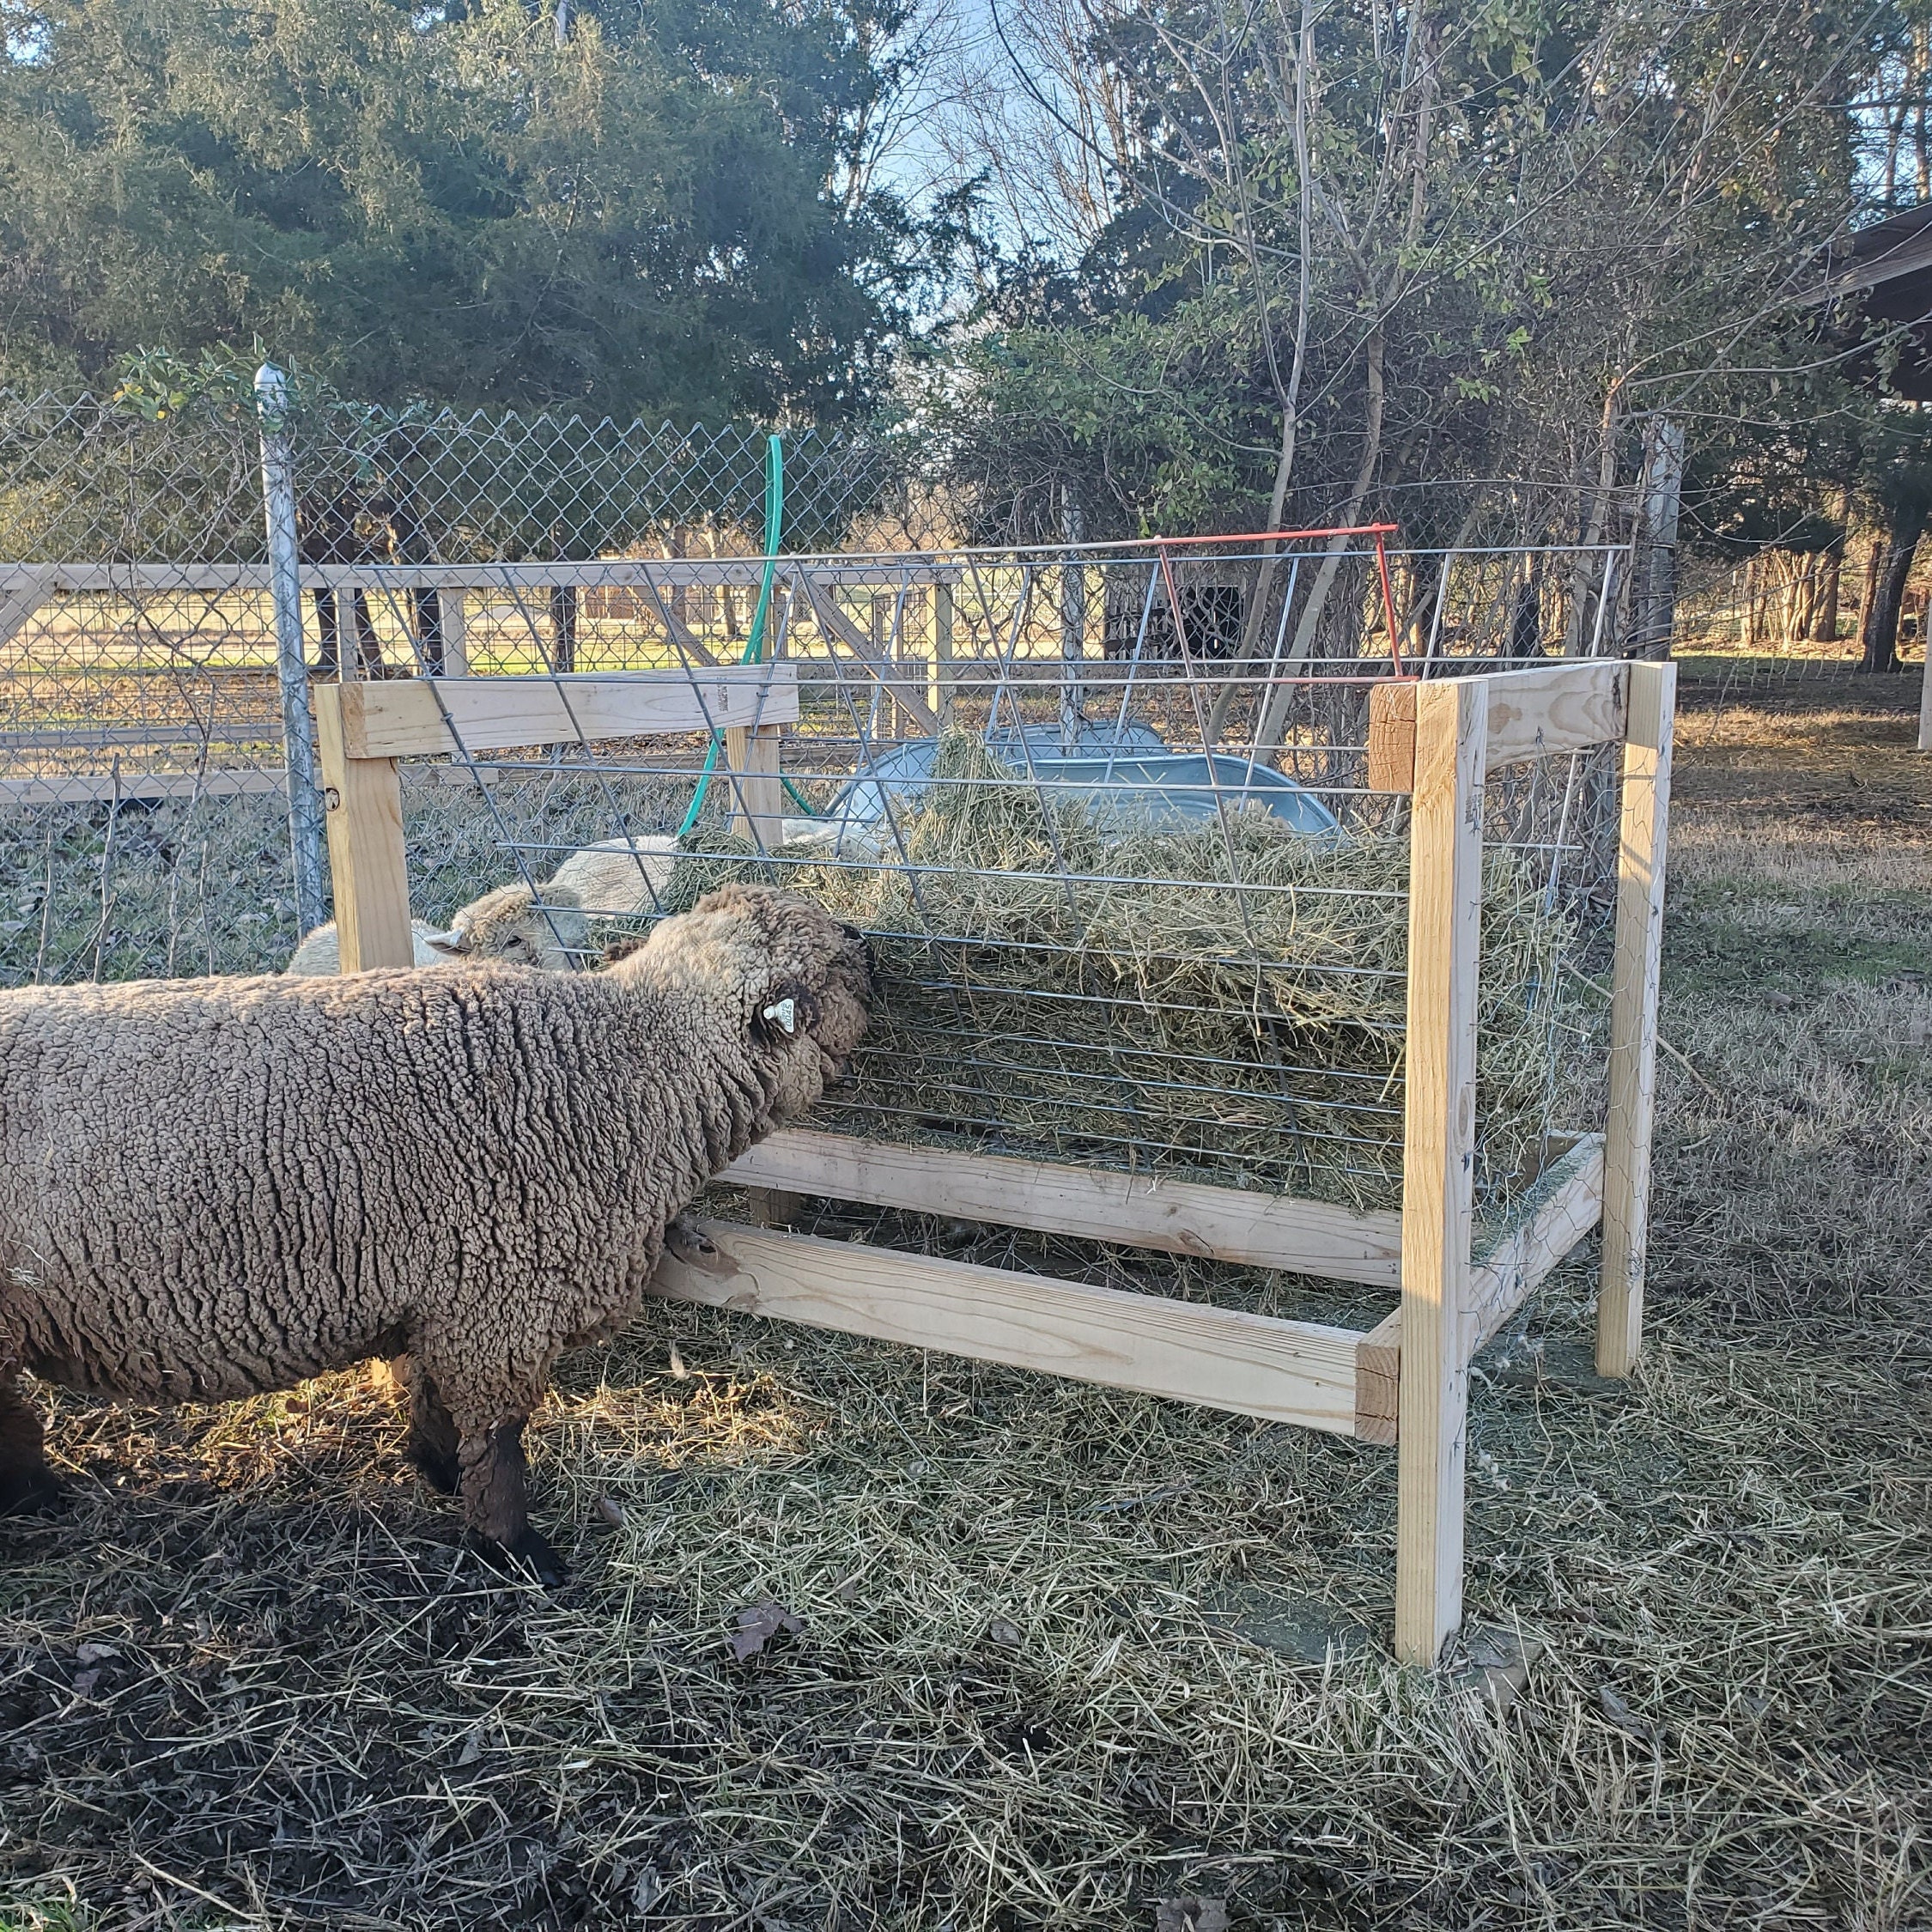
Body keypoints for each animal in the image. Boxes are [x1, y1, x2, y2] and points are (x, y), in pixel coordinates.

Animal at [0, 885, 871, 1582]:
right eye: (828, 965)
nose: (864, 937)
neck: (625, 1072)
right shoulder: (500, 1304)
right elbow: (501, 1440)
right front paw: (515, 1548)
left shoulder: (444, 1288)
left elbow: (432, 1402)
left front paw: (437, 1472)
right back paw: (38, 1500)